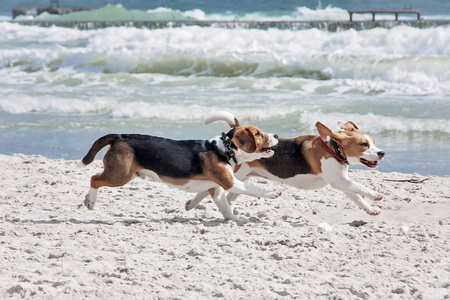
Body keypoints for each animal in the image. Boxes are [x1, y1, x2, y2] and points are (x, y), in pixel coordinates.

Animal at [79, 112, 280, 220]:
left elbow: (226, 209)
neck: (225, 148)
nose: (277, 135)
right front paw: (273, 193)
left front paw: (235, 219)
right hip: (119, 176)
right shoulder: (230, 182)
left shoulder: (216, 189)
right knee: (94, 179)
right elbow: (254, 189)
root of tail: (119, 136)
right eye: (257, 134)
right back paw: (91, 201)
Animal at [185, 112, 384, 216]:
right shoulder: (338, 181)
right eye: (364, 144)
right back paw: (192, 204)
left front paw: (370, 209)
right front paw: (376, 195)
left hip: (244, 177)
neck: (333, 149)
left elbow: (357, 196)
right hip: (232, 175)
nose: (382, 153)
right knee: (209, 190)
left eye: (374, 142)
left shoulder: (342, 182)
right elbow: (360, 187)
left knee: (226, 195)